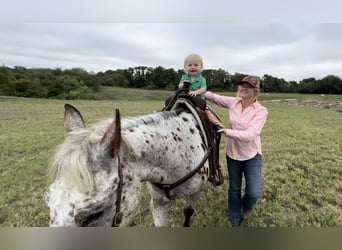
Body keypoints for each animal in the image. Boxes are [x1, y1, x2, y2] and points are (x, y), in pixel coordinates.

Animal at [44, 99, 222, 227]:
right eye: (47, 201)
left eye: (93, 215)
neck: (180, 150)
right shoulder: (158, 202)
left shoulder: (196, 192)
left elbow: (188, 213)